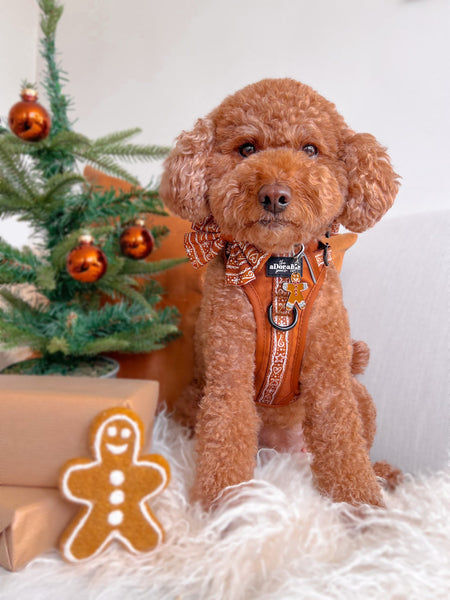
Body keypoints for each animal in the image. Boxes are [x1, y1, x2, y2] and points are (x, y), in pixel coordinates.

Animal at [160, 78, 400, 510]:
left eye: (310, 149)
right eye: (246, 149)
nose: (274, 194)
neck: (276, 268)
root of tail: (286, 455)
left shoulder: (330, 376)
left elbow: (344, 443)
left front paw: (366, 510)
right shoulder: (228, 370)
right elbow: (226, 432)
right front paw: (222, 509)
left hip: (360, 395)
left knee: (363, 442)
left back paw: (385, 474)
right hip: (192, 398)